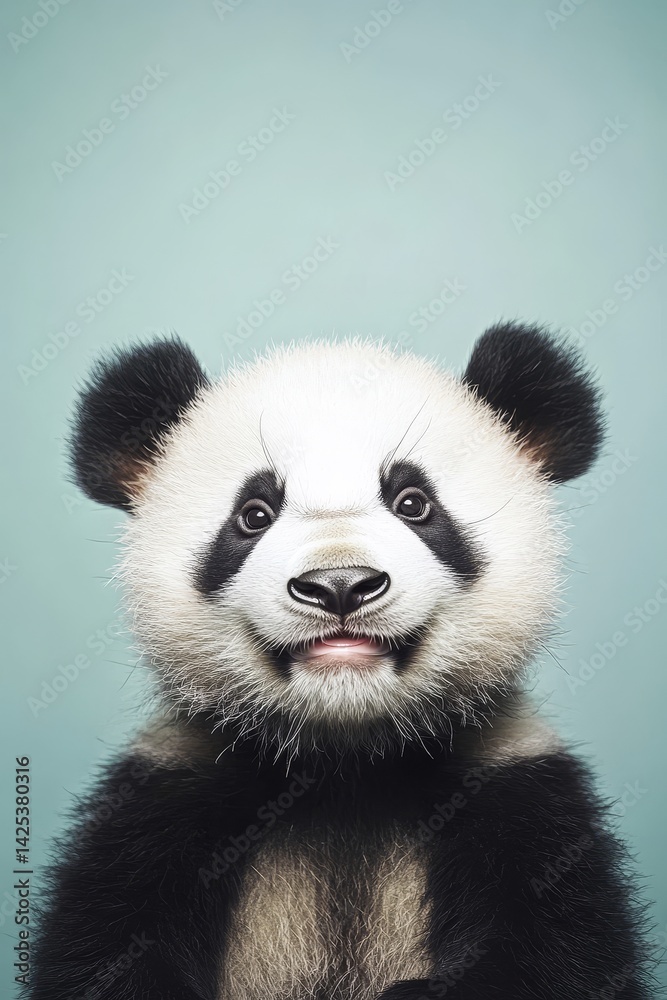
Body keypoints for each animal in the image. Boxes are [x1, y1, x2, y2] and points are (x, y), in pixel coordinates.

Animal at [27, 323, 653, 1000]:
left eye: (413, 503)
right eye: (253, 515)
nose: (340, 585)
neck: (346, 762)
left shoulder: (522, 793)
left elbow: (559, 955)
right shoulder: (162, 799)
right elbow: (105, 950)